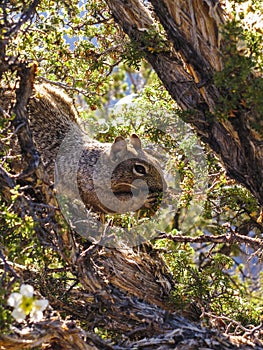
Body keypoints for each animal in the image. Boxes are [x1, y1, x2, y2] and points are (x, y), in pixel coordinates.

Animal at [1, 83, 167, 215]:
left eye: (157, 162)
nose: (164, 187)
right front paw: (143, 199)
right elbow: (111, 204)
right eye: (139, 169)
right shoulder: (88, 188)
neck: (93, 163)